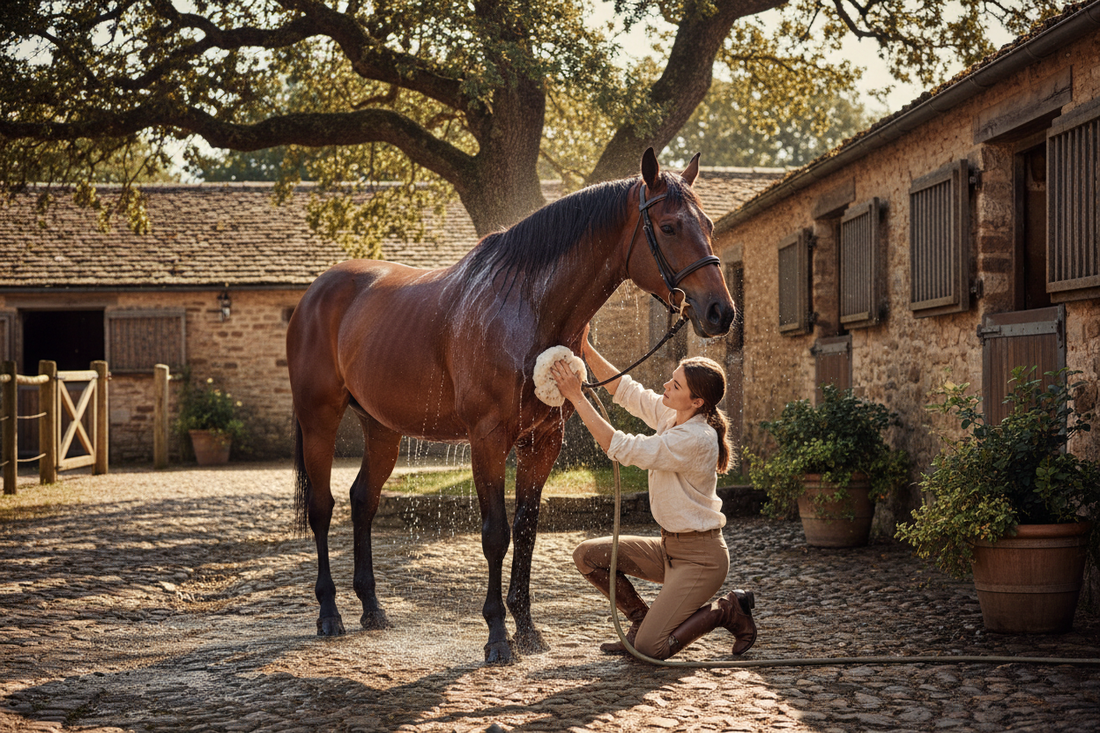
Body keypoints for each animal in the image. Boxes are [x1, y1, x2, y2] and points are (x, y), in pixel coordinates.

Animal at [286, 148, 736, 664]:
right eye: (668, 227)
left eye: (709, 224)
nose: (721, 312)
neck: (527, 307)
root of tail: (316, 292)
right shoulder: (487, 439)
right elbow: (495, 533)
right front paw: (498, 636)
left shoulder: (542, 441)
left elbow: (525, 529)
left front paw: (527, 628)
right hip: (319, 420)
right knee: (323, 507)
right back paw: (329, 613)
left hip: (382, 427)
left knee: (363, 500)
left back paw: (373, 609)